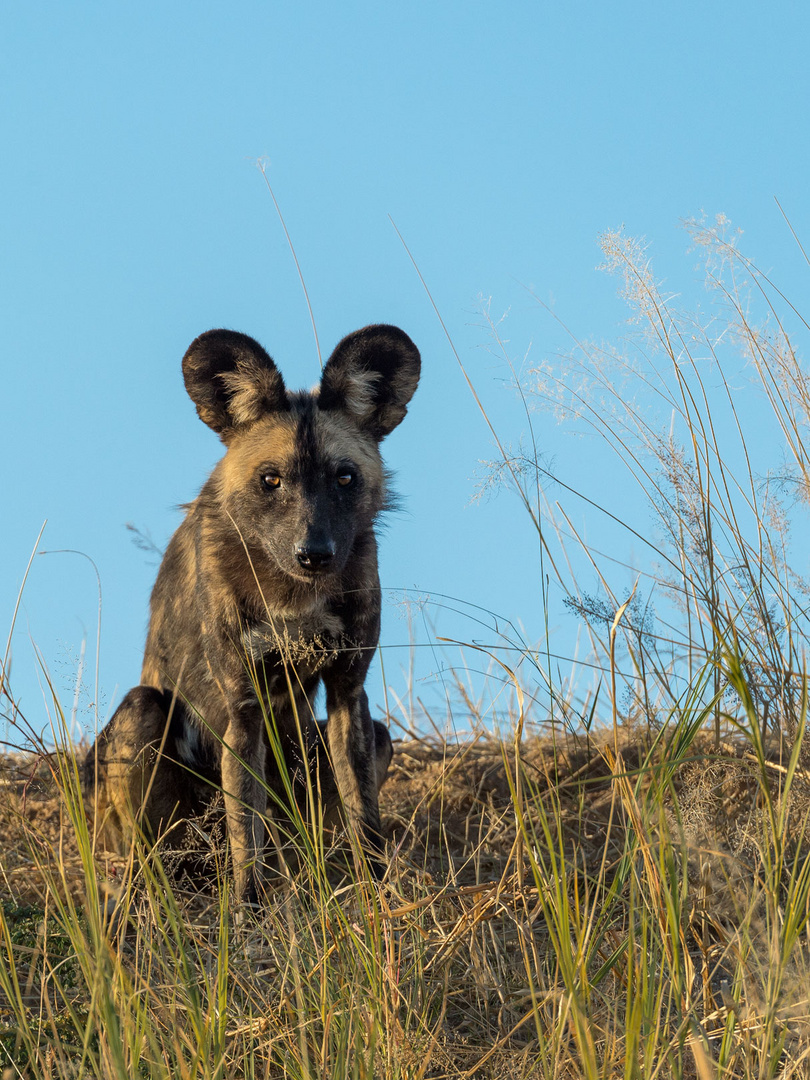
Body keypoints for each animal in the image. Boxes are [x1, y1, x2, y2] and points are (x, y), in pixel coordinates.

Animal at [85, 321, 421, 902]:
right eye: (271, 479)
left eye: (345, 478)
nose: (314, 553)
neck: (294, 595)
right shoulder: (243, 708)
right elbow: (248, 836)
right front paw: (250, 913)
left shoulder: (349, 692)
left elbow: (365, 822)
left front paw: (377, 899)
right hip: (145, 727)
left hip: (357, 747)